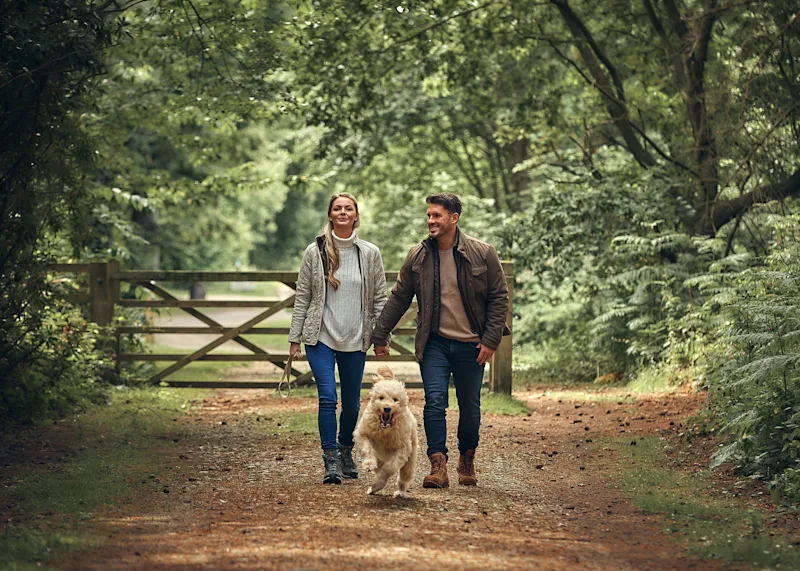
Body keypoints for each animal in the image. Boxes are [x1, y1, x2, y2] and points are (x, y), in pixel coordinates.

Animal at [354, 368, 418, 498]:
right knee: (379, 466)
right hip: (380, 458)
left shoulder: (402, 450)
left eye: (395, 399)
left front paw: (377, 484)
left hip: (409, 463)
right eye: (381, 398)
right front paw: (369, 464)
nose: (387, 408)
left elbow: (389, 468)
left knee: (404, 478)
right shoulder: (363, 434)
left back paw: (400, 492)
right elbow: (367, 448)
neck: (385, 430)